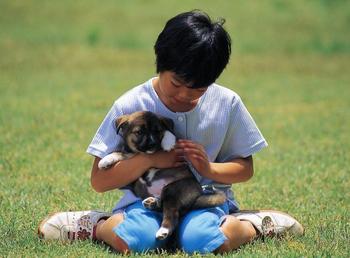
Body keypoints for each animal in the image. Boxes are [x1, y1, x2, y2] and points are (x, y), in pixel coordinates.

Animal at [98, 111, 226, 240]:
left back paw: (163, 230)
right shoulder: (131, 156)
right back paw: (152, 203)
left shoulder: (180, 145)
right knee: (162, 206)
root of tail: (197, 194)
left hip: (173, 189)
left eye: (157, 131)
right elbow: (120, 153)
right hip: (142, 187)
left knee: (172, 213)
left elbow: (171, 134)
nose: (152, 143)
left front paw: (168, 142)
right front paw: (105, 160)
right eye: (139, 132)